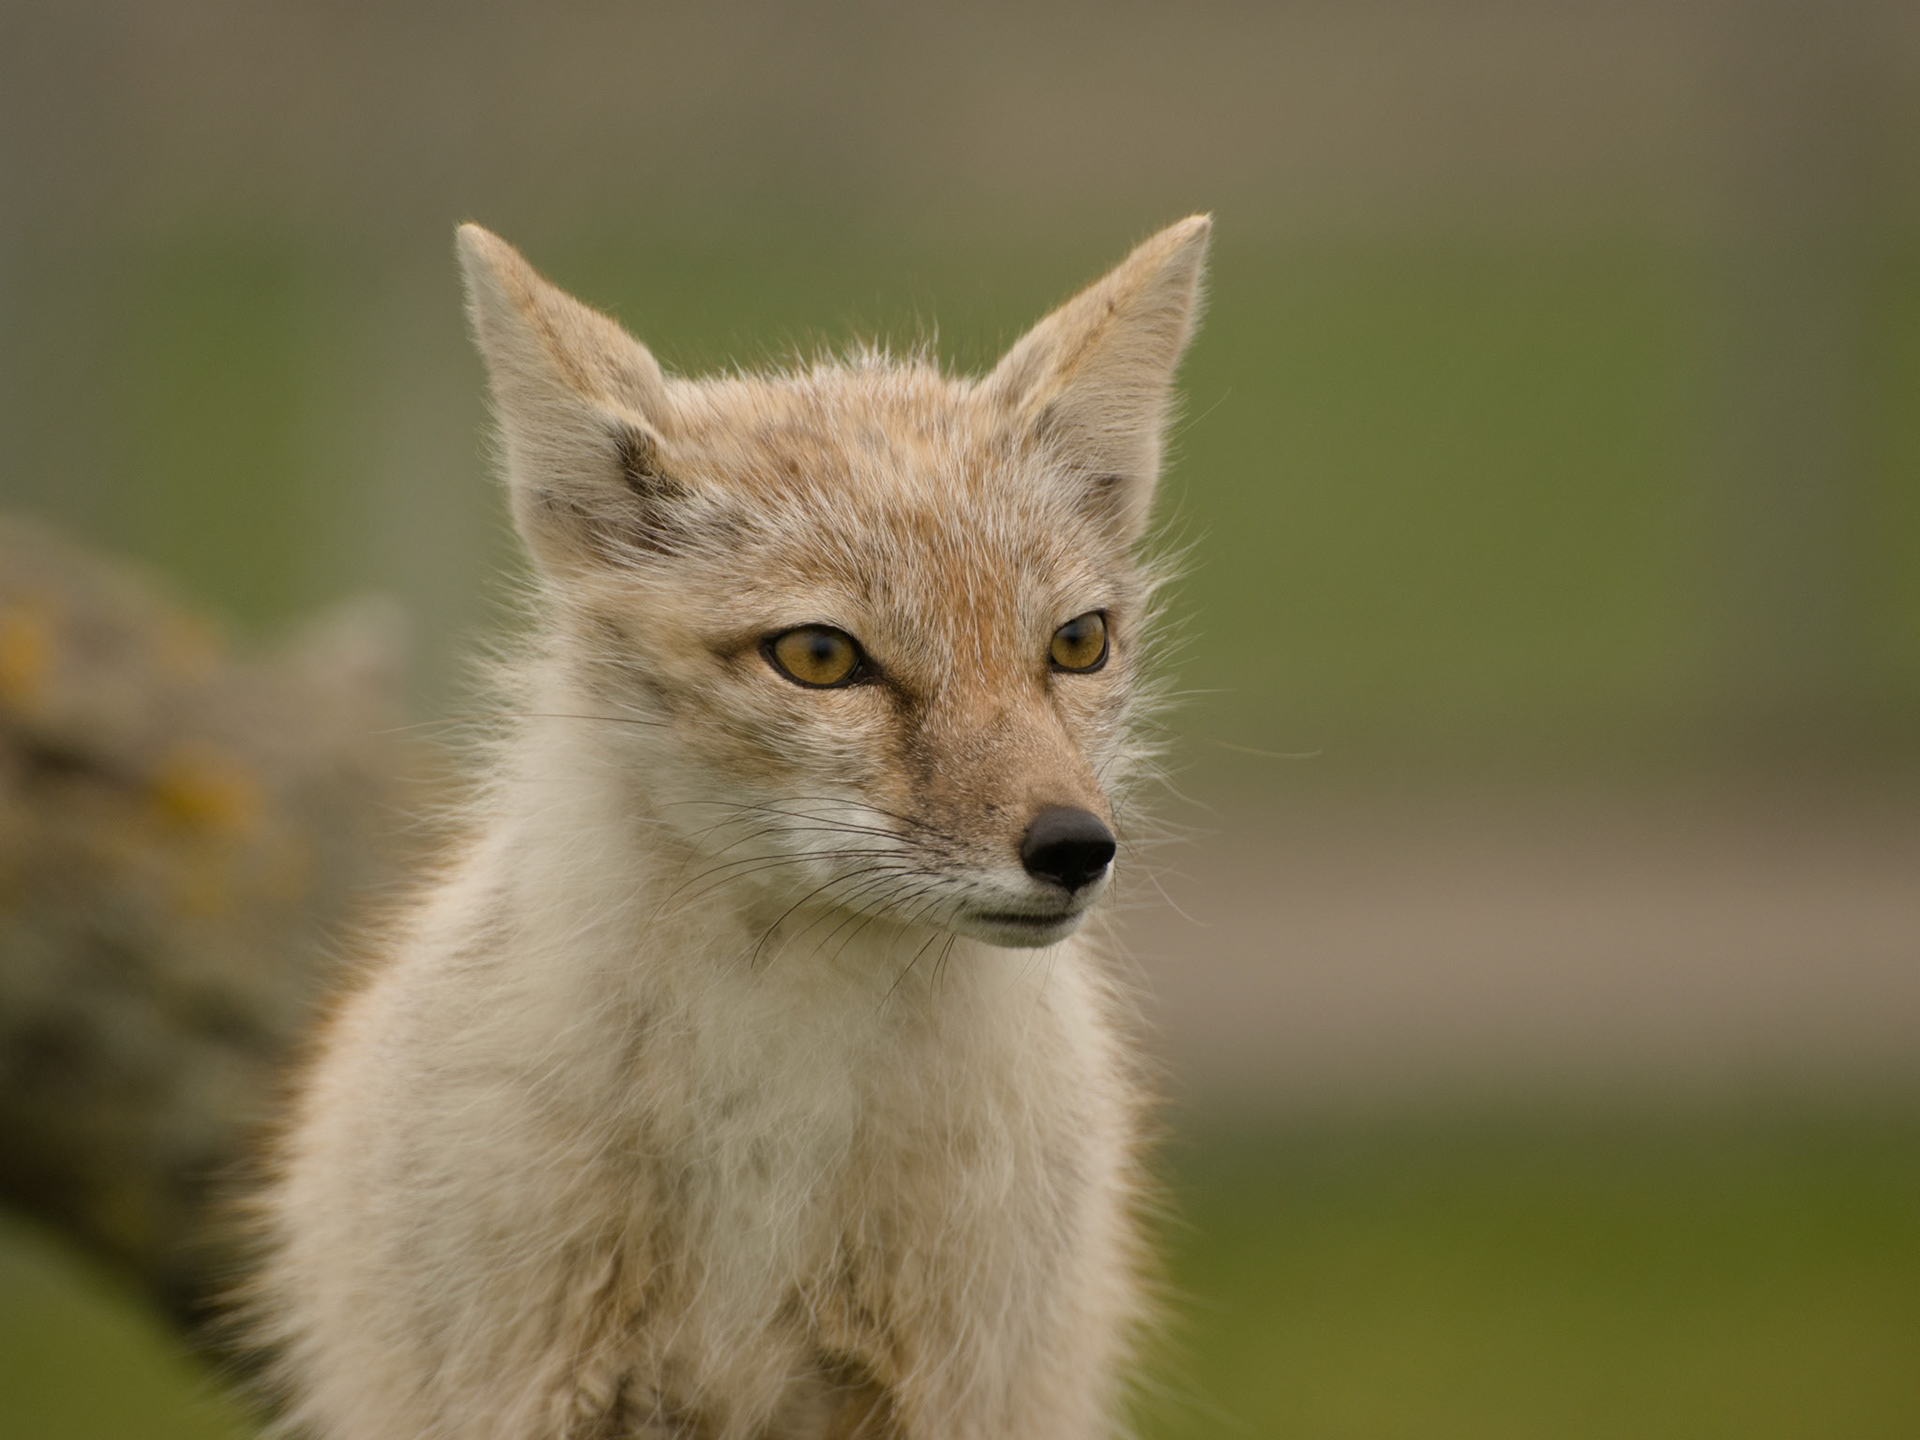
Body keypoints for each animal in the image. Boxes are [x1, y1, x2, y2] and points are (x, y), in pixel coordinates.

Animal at [252, 214, 1210, 1440]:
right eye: (820, 657)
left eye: (1078, 644)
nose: (1077, 849)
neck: (772, 1131)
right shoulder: (517, 1387)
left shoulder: (961, 1391)